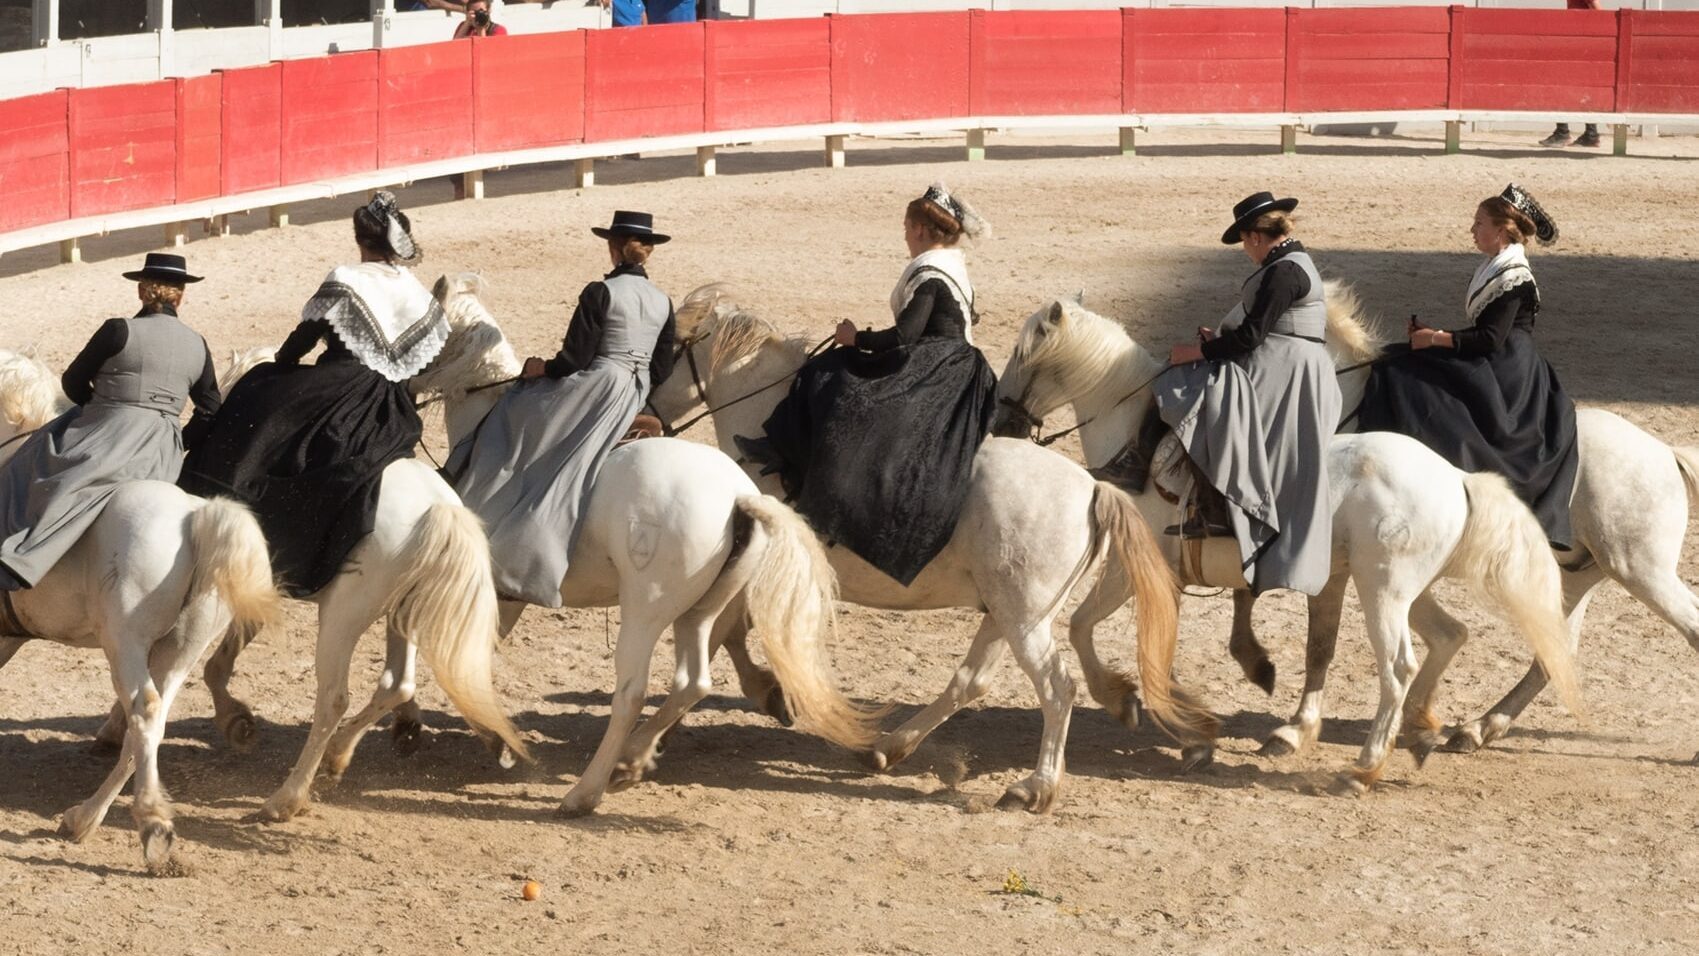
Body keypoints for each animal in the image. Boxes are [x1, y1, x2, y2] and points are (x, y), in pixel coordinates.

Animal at [0, 351, 278, 876]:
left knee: (144, 714)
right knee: (147, 727)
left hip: (125, 643)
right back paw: (85, 818)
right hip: (178, 650)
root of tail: (196, 517)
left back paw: (152, 827)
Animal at [194, 346, 523, 821]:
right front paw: (237, 721)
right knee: (397, 684)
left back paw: (287, 797)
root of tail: (438, 510)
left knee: (334, 697)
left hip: (343, 618)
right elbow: (221, 657)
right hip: (402, 615)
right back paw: (339, 753)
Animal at [406, 275, 883, 815]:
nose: (401, 388)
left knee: (632, 692)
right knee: (693, 680)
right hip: (696, 612)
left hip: (644, 610)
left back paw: (586, 791)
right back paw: (631, 763)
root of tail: (740, 496)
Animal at [635, 283, 1209, 815]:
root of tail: (1093, 487)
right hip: (1006, 613)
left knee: (1056, 689)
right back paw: (889, 747)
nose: (640, 421)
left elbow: (721, 638)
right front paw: (763, 694)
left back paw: (1035, 787)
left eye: (665, 353)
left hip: (1024, 619)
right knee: (973, 681)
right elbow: (728, 637)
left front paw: (653, 739)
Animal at [992, 297, 1583, 784]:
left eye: (1022, 353)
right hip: (1395, 587)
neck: (1137, 446)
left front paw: (1134, 706)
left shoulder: (1135, 568)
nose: (1000, 421)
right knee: (1449, 635)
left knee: (1399, 666)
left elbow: (1086, 628)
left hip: (1384, 592)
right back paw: (1415, 731)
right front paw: (1187, 727)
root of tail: (1455, 476)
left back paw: (1364, 766)